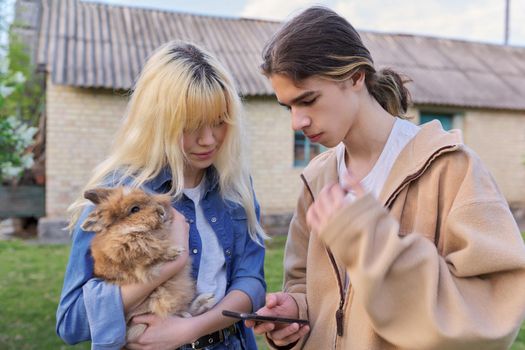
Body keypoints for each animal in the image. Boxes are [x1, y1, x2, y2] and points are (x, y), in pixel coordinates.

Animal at [80, 187, 215, 344]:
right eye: (134, 209)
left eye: (148, 197)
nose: (161, 211)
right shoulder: (131, 257)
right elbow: (151, 254)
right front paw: (175, 251)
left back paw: (206, 300)